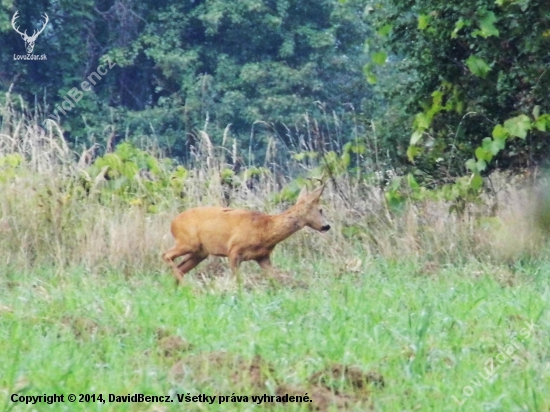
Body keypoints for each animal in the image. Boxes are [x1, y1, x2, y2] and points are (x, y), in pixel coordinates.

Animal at [162, 185, 330, 284]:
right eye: (321, 209)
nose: (327, 226)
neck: (265, 229)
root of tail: (173, 223)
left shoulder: (263, 257)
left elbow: (274, 278)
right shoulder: (234, 250)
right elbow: (238, 279)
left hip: (200, 252)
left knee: (180, 267)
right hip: (187, 241)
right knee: (165, 255)